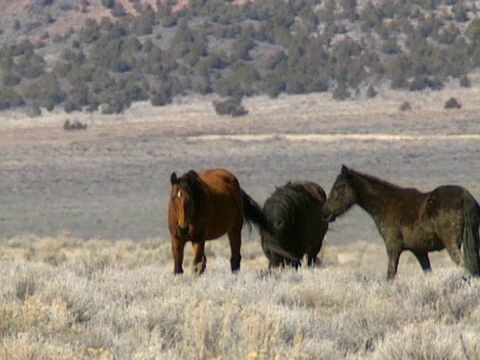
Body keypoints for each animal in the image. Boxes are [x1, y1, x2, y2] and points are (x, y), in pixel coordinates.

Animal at [322, 165, 480, 280]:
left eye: (338, 186)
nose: (326, 213)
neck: (386, 204)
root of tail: (465, 197)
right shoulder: (420, 252)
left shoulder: (393, 248)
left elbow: (390, 275)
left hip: (451, 244)